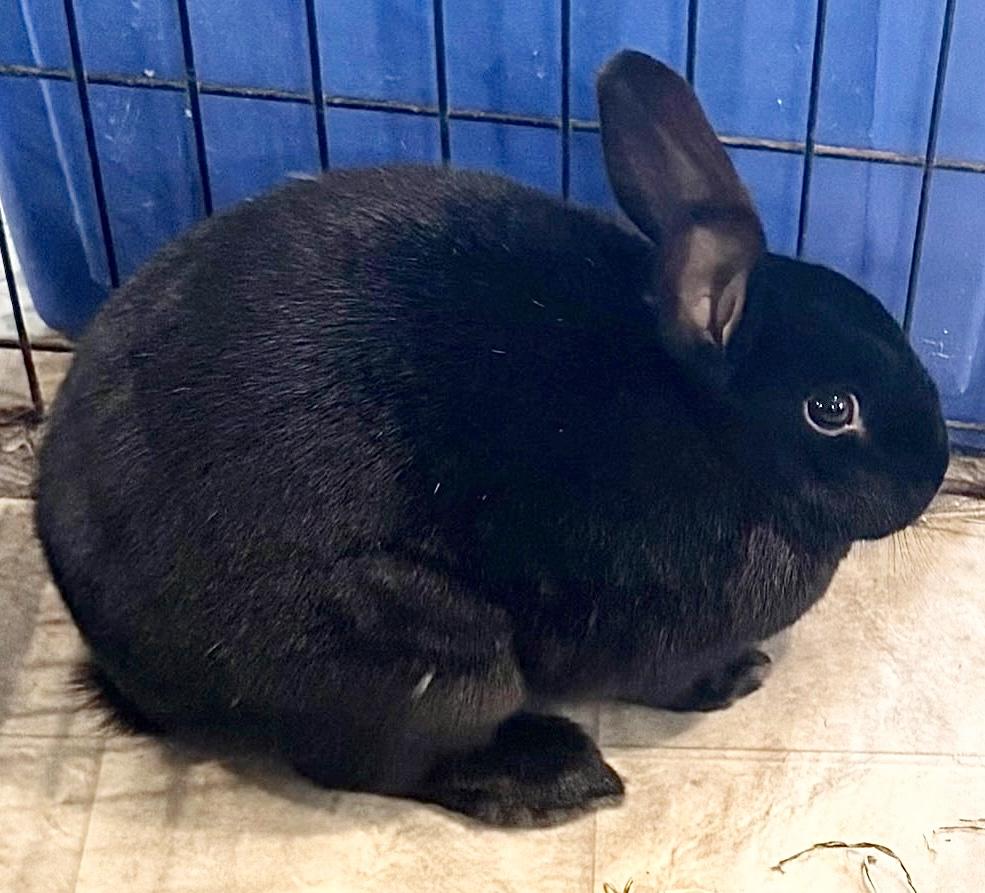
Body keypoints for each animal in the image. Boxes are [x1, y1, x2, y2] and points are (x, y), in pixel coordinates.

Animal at [35, 50, 949, 827]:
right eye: (830, 408)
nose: (935, 469)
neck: (714, 435)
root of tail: (130, 668)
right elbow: (663, 677)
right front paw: (732, 675)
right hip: (427, 657)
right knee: (375, 766)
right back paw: (556, 778)